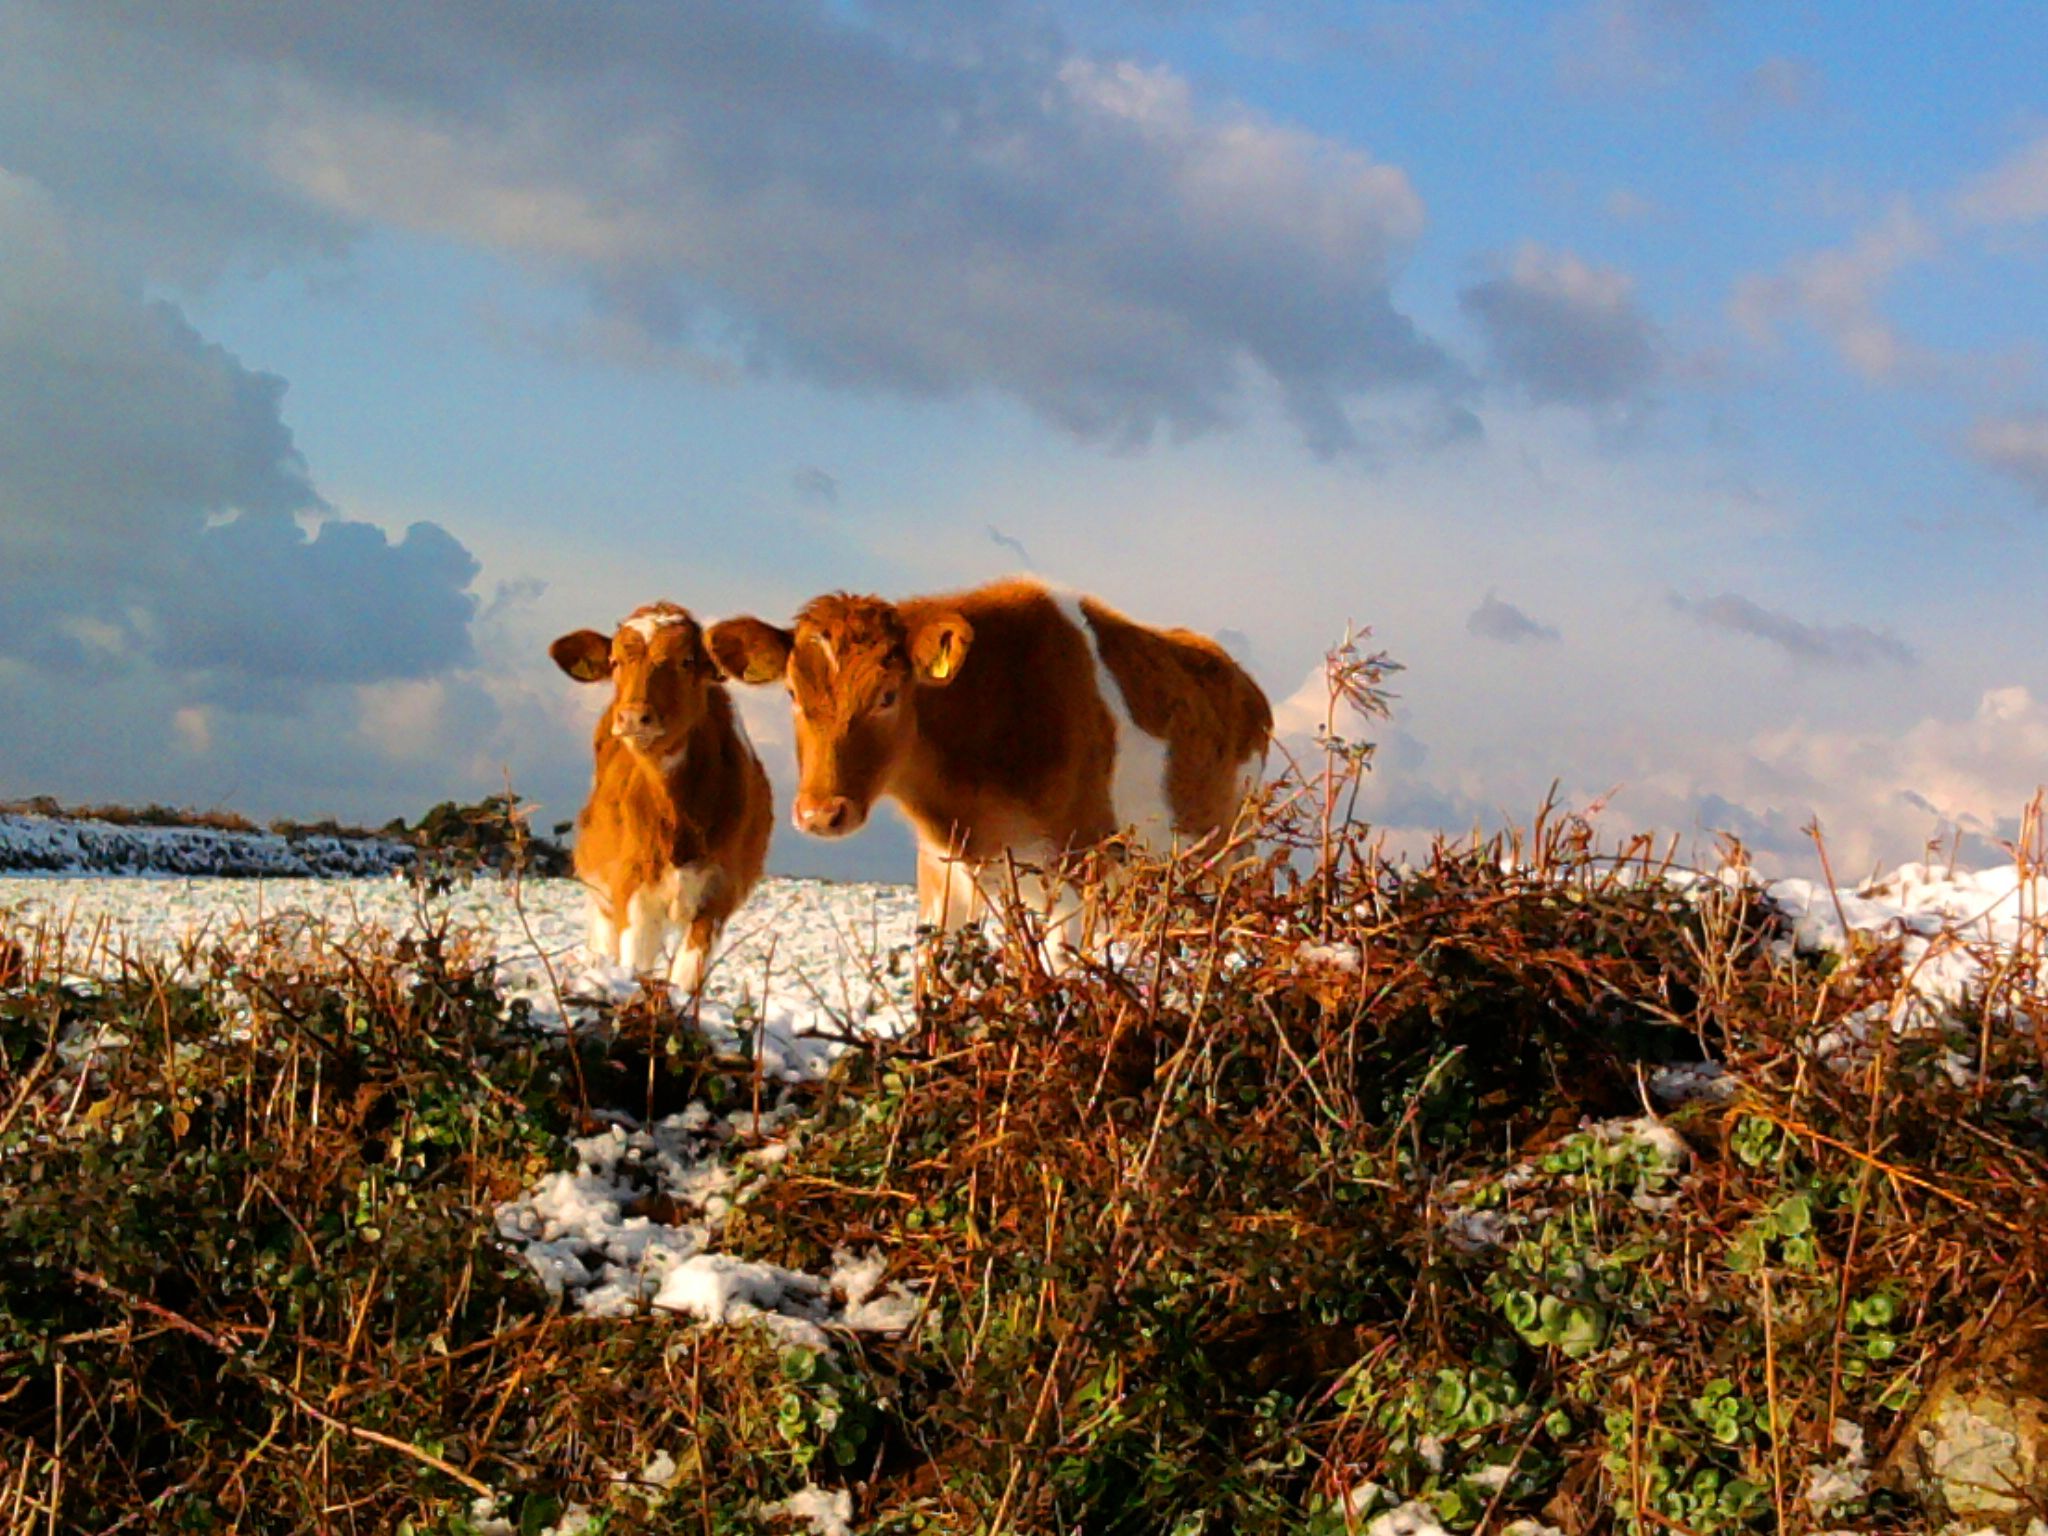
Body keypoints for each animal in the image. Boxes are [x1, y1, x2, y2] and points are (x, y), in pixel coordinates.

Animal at [550, 603, 774, 993]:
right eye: (614, 661)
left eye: (687, 660)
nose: (633, 716)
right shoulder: (631, 895)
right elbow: (634, 969)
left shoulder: (718, 898)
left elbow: (686, 980)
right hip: (601, 900)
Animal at [705, 577, 1271, 937]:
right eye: (792, 694)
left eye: (888, 695)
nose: (821, 813)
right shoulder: (942, 872)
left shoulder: (1074, 868)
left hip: (1229, 859)